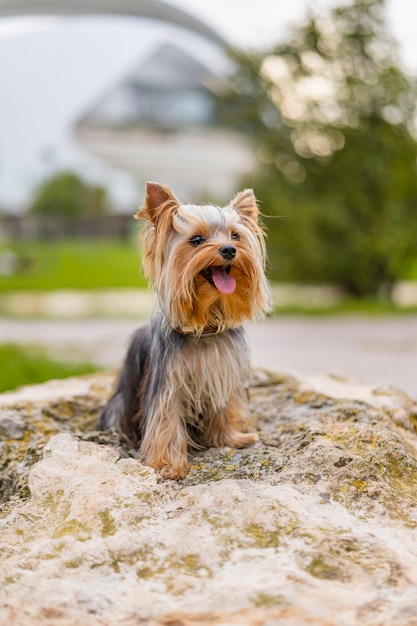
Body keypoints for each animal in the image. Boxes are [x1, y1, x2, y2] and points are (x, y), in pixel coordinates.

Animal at [99, 180, 272, 478]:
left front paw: (231, 438)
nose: (229, 250)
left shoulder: (223, 372)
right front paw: (168, 464)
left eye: (235, 236)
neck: (205, 325)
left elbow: (225, 407)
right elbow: (165, 420)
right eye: (197, 240)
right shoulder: (167, 384)